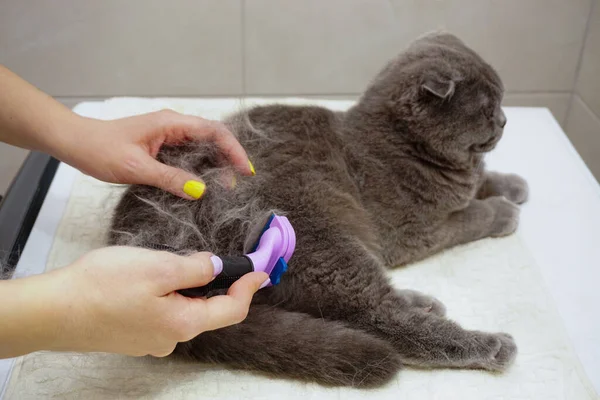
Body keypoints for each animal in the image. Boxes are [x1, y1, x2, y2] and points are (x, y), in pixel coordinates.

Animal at [109, 32, 528, 390]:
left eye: (500, 105)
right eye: (487, 110)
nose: (506, 120)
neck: (403, 143)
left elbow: (485, 181)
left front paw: (514, 185)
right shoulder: (415, 232)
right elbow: (470, 217)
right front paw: (504, 212)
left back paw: (425, 302)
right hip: (320, 243)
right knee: (379, 316)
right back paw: (490, 345)